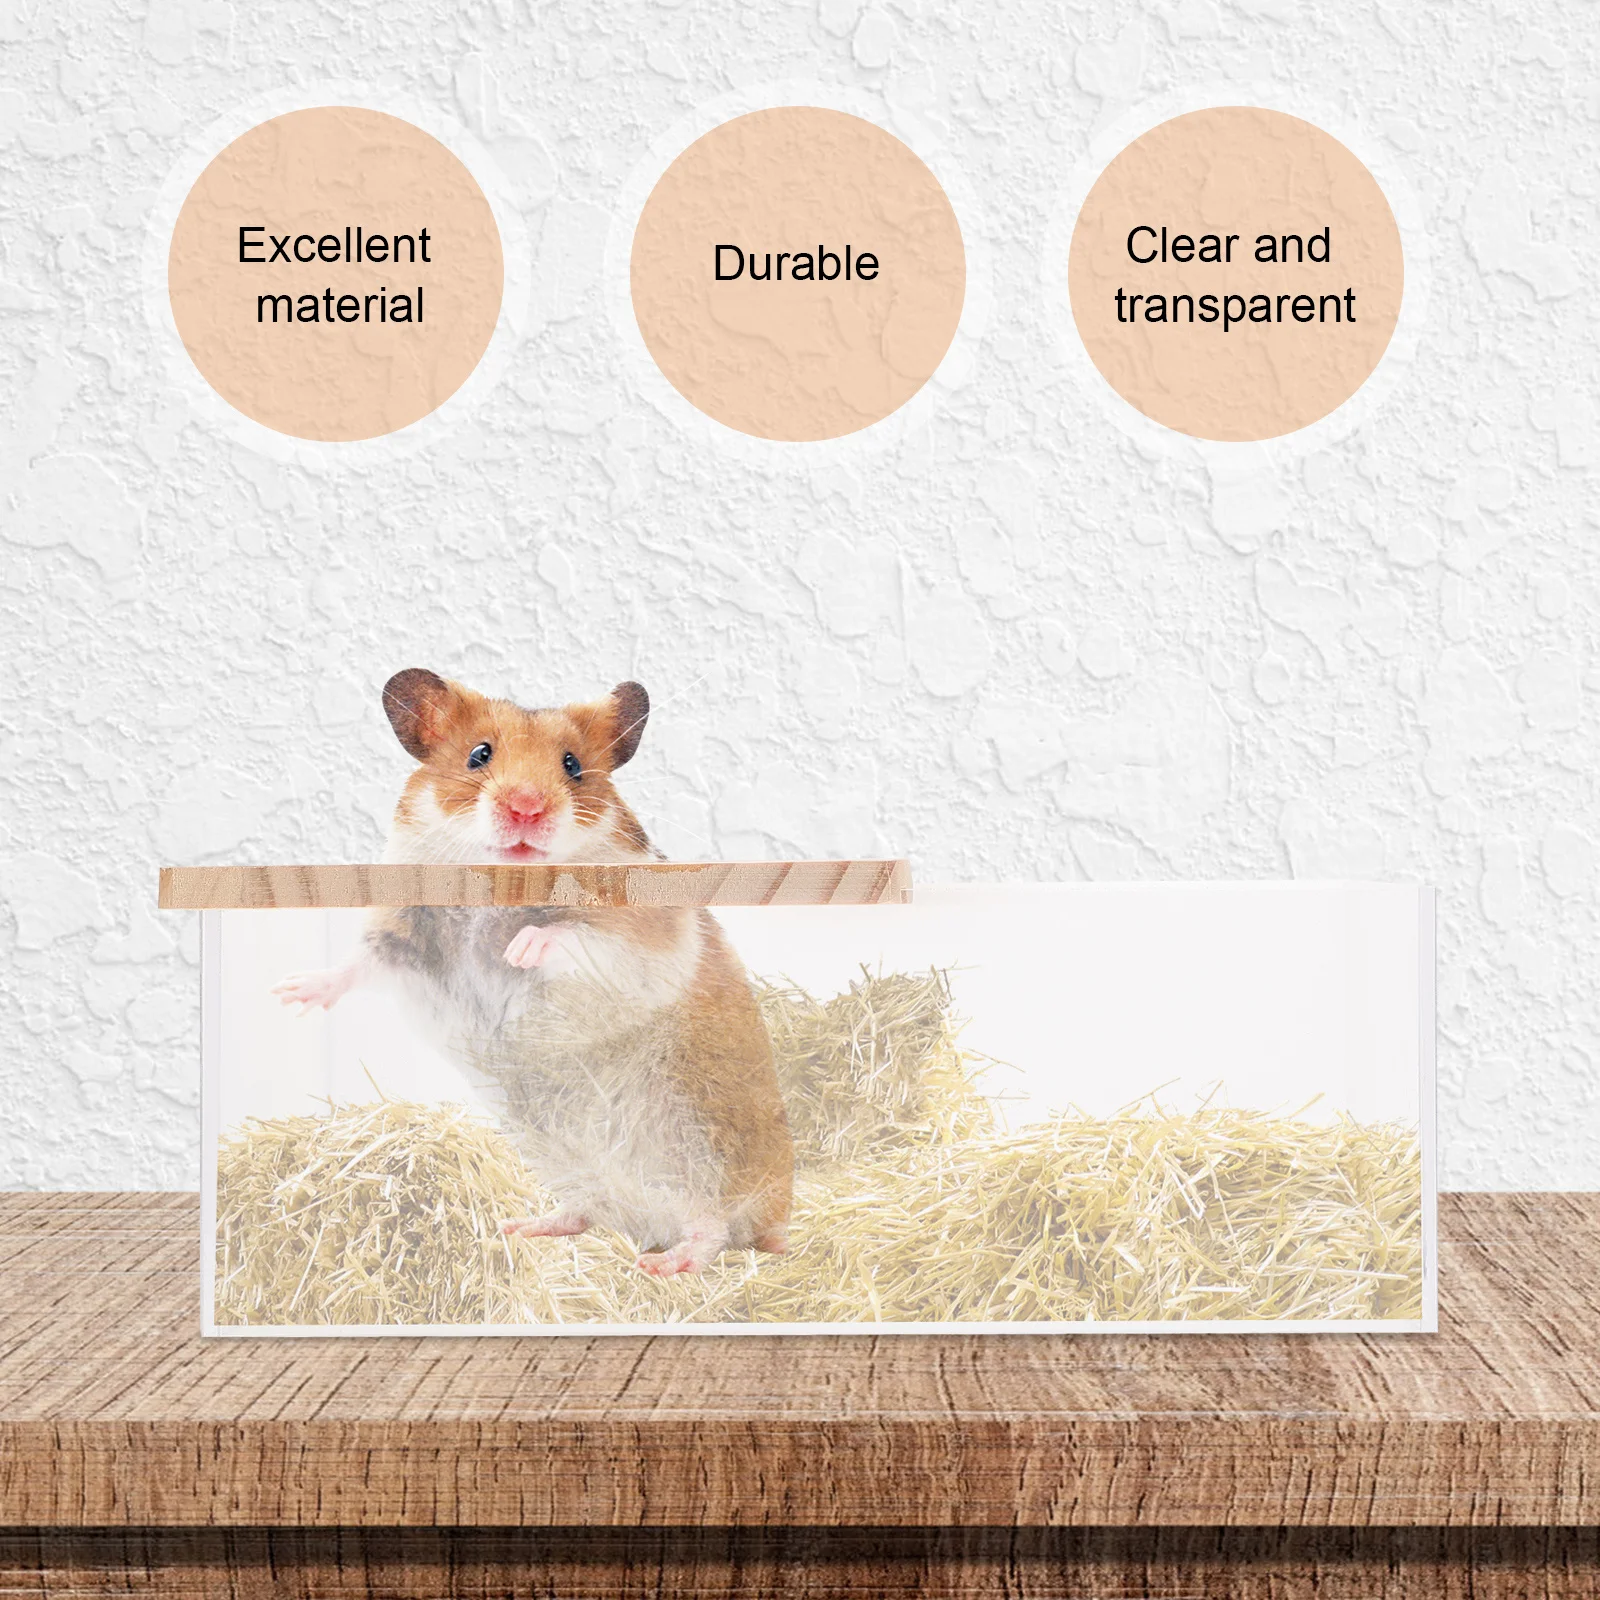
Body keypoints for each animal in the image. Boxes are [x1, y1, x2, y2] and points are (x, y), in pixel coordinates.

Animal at [273, 667, 794, 1277]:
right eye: (478, 754)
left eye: (572, 765)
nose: (526, 808)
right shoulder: (402, 929)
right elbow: (358, 964)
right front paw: (291, 994)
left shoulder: (640, 931)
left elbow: (574, 936)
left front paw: (520, 949)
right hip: (563, 1160)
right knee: (586, 1213)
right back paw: (523, 1227)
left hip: (700, 1150)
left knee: (713, 1229)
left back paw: (664, 1265)